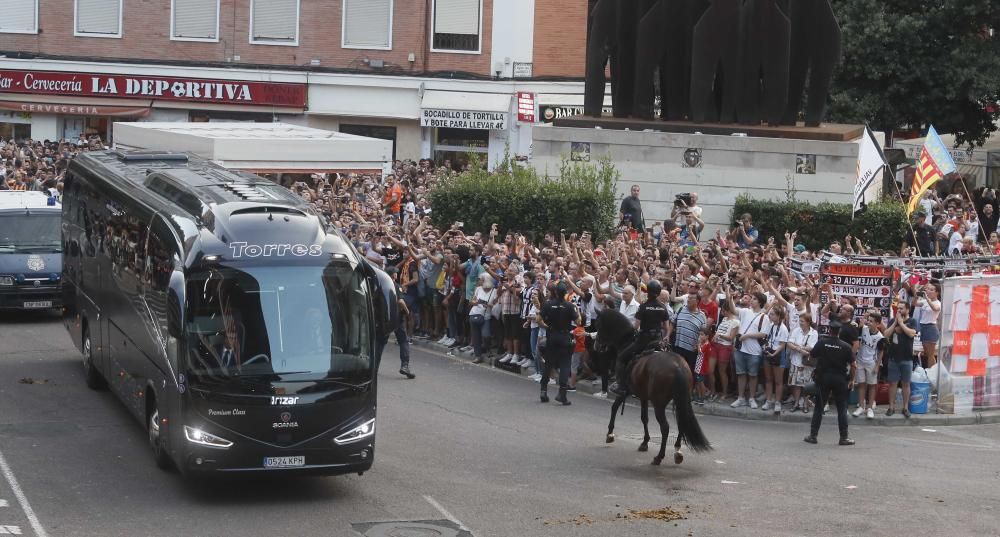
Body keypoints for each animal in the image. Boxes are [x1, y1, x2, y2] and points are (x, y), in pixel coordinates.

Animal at [592, 308, 712, 462]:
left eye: (598, 325)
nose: (596, 346)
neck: (627, 342)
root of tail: (678, 367)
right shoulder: (643, 395)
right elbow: (644, 418)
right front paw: (644, 442)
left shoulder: (626, 390)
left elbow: (614, 407)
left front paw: (610, 434)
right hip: (681, 400)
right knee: (681, 423)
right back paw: (677, 451)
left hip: (659, 403)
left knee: (665, 427)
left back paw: (659, 457)